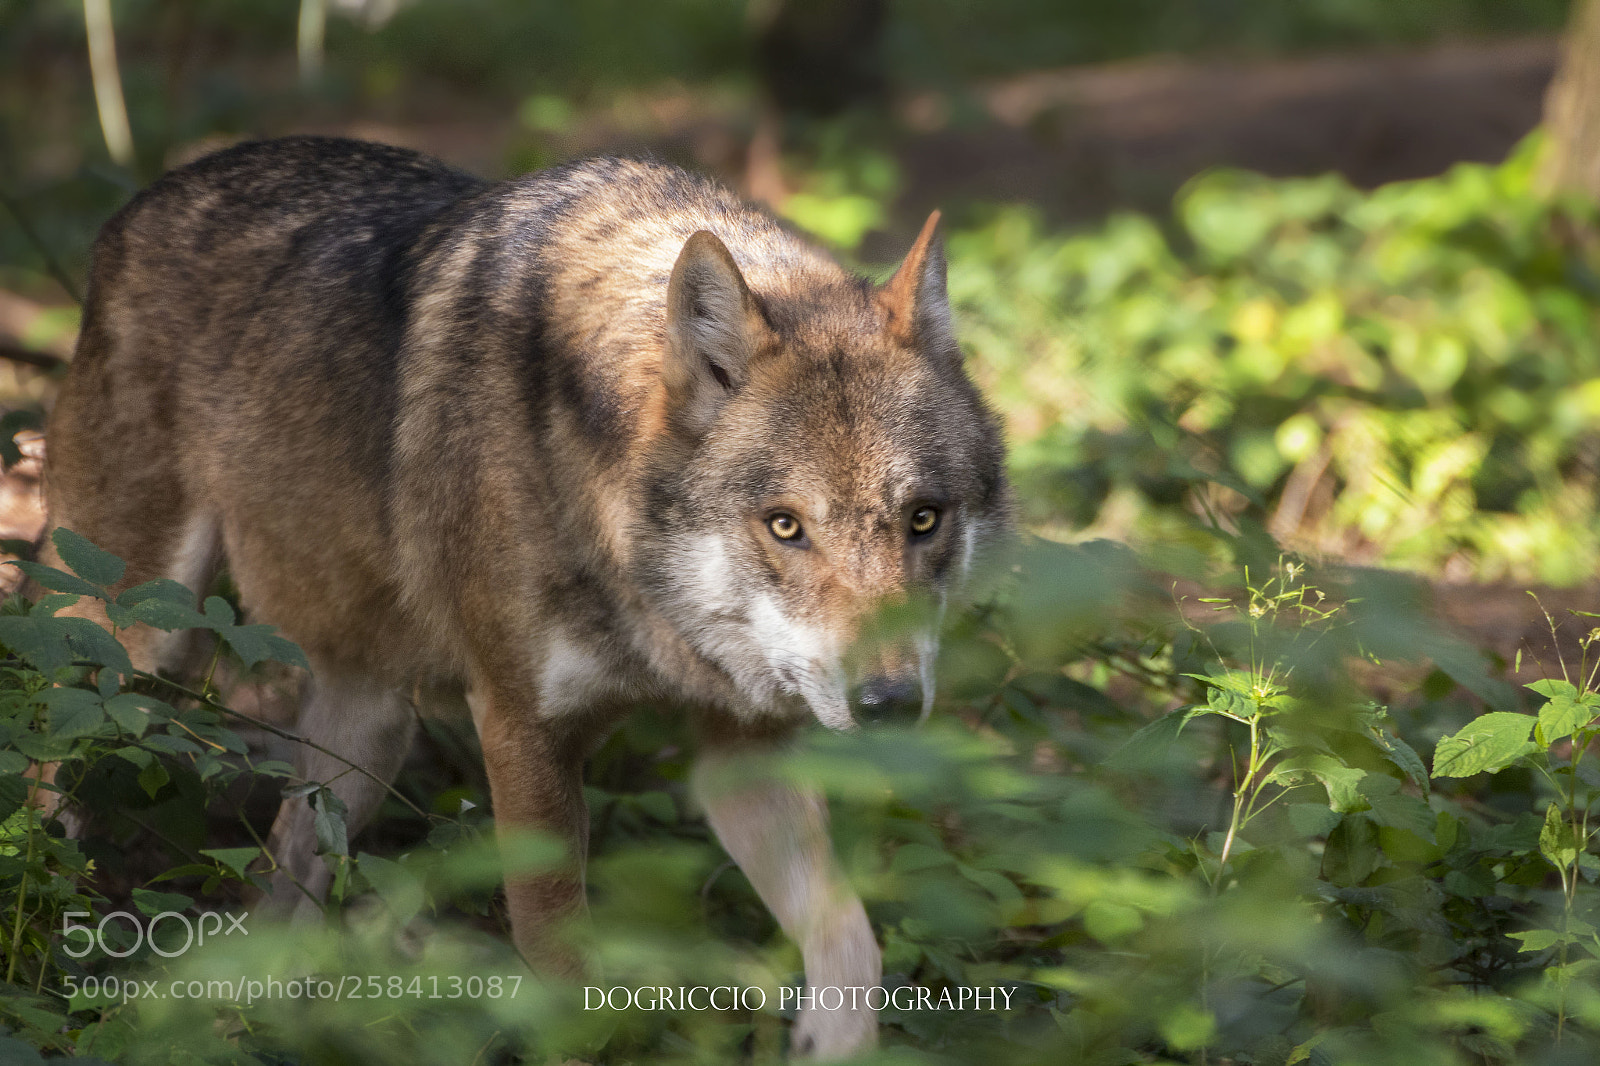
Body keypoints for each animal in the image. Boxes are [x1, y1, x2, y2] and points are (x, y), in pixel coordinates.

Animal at [43, 136, 1009, 1058]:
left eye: (923, 519)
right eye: (785, 526)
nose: (889, 704)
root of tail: (145, 199)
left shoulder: (744, 752)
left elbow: (853, 944)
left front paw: (831, 1042)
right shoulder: (518, 730)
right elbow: (566, 979)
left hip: (368, 734)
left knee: (279, 890)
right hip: (130, 657)